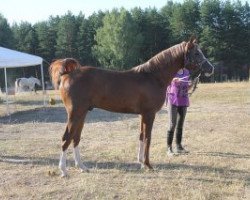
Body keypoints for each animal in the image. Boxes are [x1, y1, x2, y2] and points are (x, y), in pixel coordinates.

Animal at [49, 38, 214, 177]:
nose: (211, 68)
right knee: (66, 138)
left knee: (76, 138)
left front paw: (141, 162)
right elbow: (148, 137)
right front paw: (148, 165)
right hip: (75, 113)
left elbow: (141, 136)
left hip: (82, 114)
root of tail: (68, 73)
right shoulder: (149, 114)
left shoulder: (142, 115)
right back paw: (63, 171)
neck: (153, 76)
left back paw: (82, 167)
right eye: (197, 53)